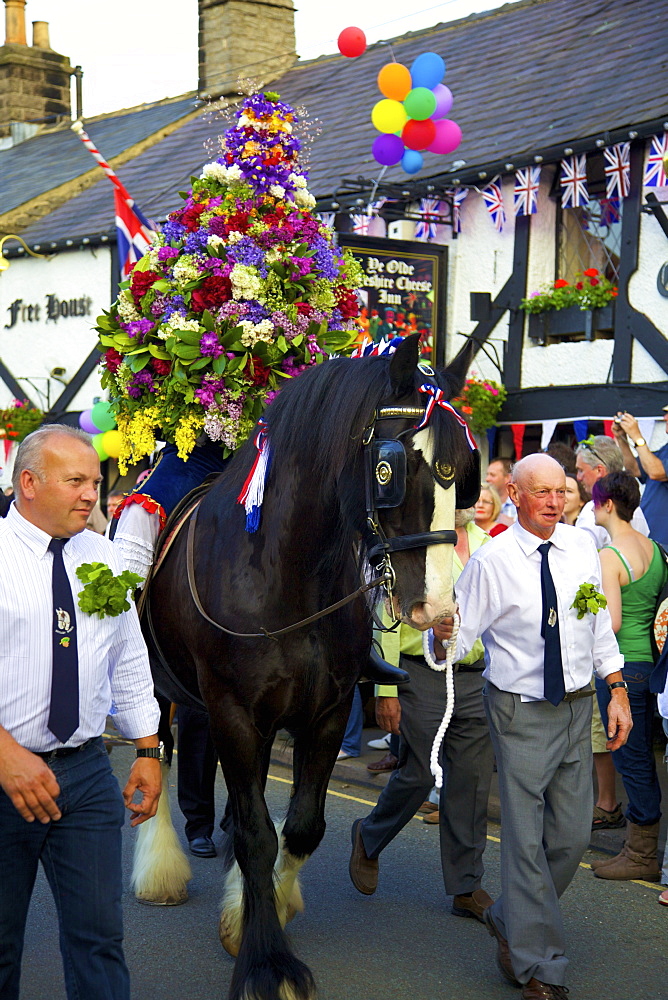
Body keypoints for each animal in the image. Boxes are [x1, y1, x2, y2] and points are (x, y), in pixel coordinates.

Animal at [136, 336, 478, 1000]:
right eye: (394, 467)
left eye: (465, 472)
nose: (438, 607)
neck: (286, 573)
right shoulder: (235, 714)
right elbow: (256, 834)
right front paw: (267, 962)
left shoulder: (326, 713)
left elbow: (299, 828)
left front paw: (258, 908)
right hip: (162, 690)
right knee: (157, 758)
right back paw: (160, 866)